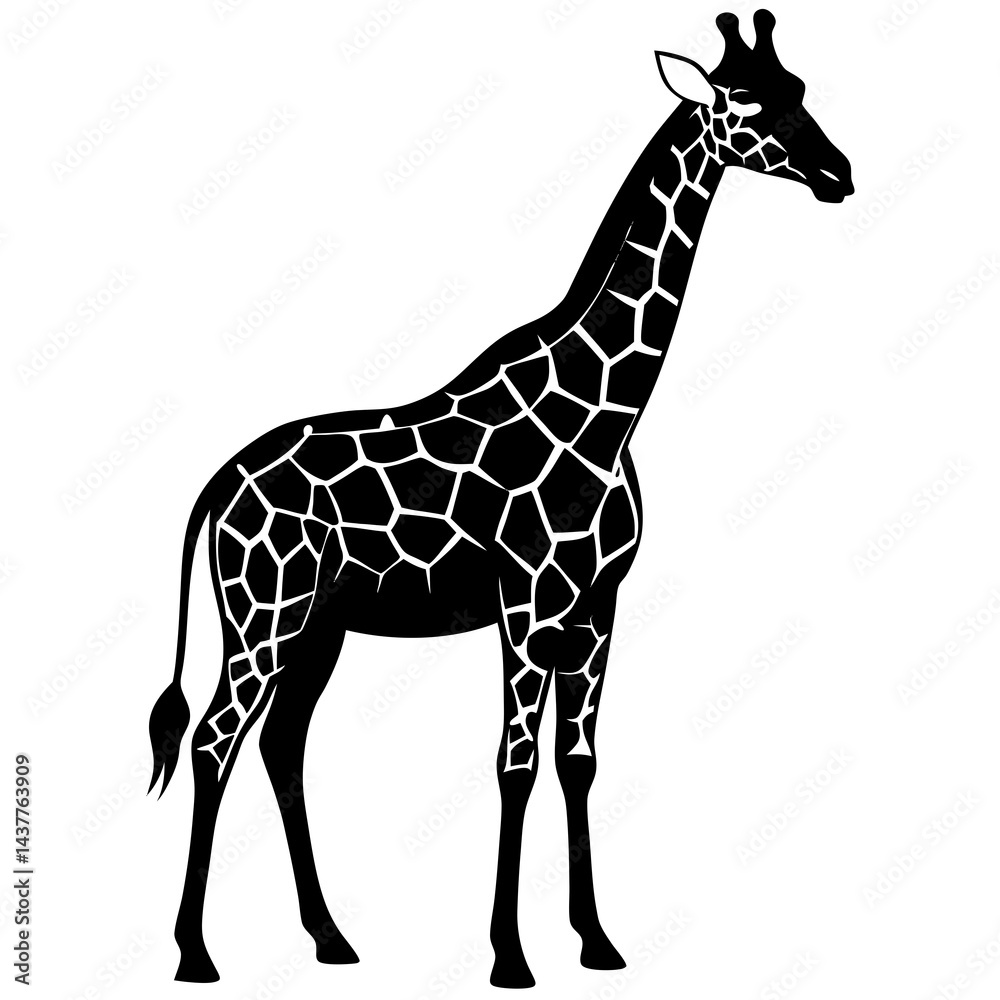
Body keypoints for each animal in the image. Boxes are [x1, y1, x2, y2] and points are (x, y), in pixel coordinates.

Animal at [147, 9, 852, 988]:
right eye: (746, 102)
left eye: (803, 90)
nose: (840, 175)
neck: (606, 410)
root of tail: (216, 487)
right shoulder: (528, 601)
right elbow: (512, 764)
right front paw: (510, 958)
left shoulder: (597, 606)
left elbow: (577, 761)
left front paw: (597, 942)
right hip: (266, 611)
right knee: (217, 740)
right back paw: (194, 954)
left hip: (320, 622)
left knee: (282, 742)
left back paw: (331, 938)